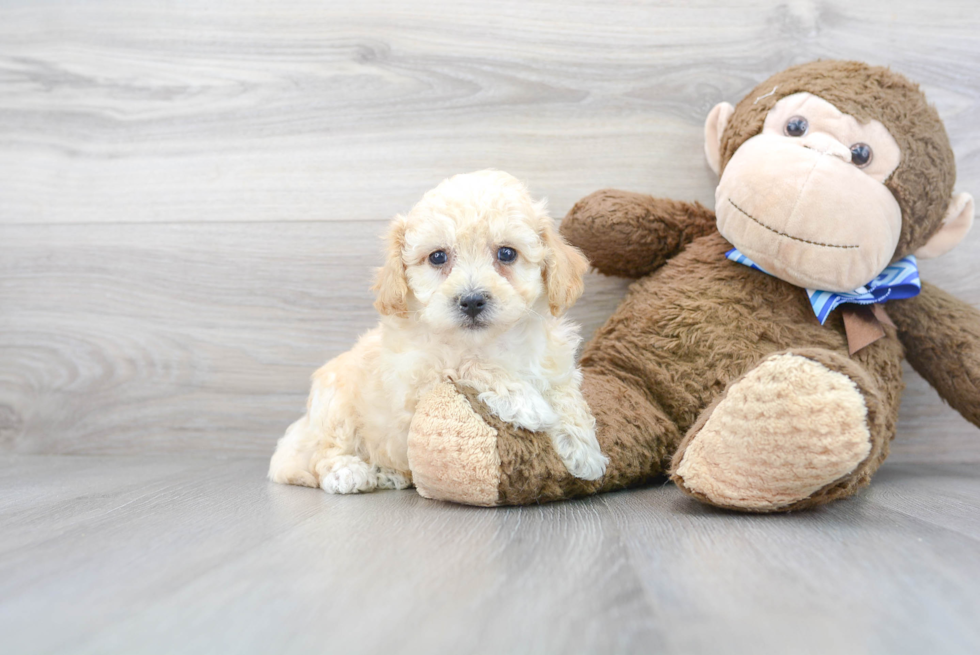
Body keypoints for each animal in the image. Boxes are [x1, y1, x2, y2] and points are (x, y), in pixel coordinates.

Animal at [268, 169, 604, 492]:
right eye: (438, 256)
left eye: (507, 254)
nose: (472, 300)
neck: (486, 341)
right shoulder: (416, 380)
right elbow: (468, 365)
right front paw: (527, 403)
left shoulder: (553, 362)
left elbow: (566, 394)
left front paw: (583, 450)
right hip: (333, 405)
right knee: (325, 452)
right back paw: (348, 472)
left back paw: (389, 474)